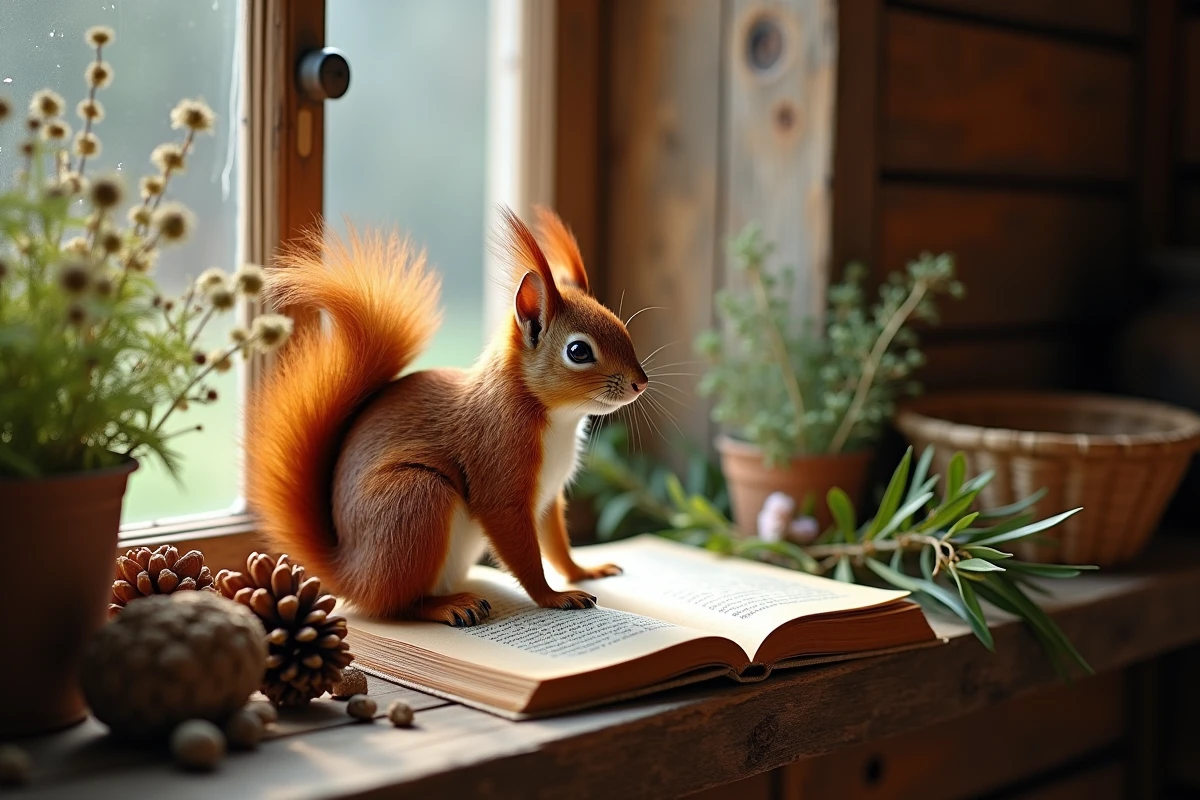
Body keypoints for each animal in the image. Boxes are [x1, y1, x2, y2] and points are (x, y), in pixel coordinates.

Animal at [244, 206, 648, 626]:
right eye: (578, 351)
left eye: (620, 326)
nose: (641, 383)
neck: (556, 418)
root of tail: (351, 575)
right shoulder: (500, 470)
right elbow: (521, 550)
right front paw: (553, 596)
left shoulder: (548, 494)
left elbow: (555, 542)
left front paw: (583, 571)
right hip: (416, 499)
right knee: (398, 604)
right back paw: (451, 606)